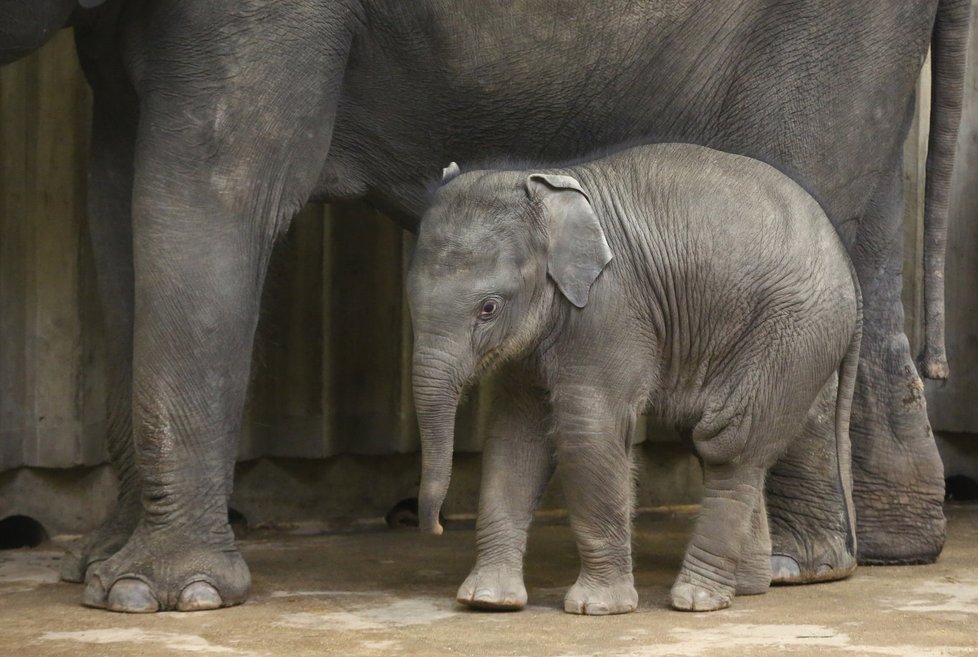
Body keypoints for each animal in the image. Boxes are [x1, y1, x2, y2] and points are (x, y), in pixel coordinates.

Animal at [408, 144, 856, 616]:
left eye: (488, 308)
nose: (436, 528)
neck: (552, 189)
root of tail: (847, 264)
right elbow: (514, 437)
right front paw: (488, 601)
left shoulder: (612, 308)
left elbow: (588, 431)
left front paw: (597, 607)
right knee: (710, 439)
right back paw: (745, 588)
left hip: (794, 336)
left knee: (728, 444)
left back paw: (696, 599)